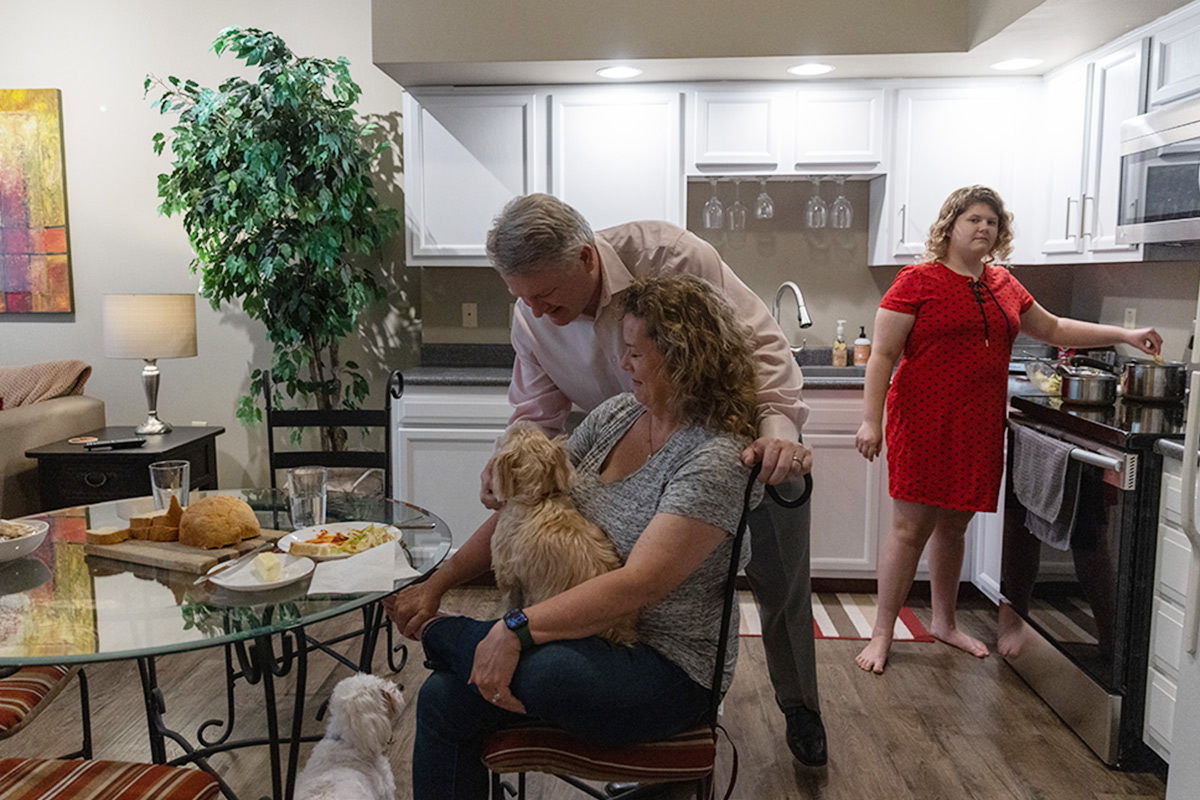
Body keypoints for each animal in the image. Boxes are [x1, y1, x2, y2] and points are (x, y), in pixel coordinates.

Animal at [487, 422, 638, 647]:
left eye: (509, 435)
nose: (522, 420)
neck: (537, 499)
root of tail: (617, 632)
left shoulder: (507, 574)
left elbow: (508, 604)